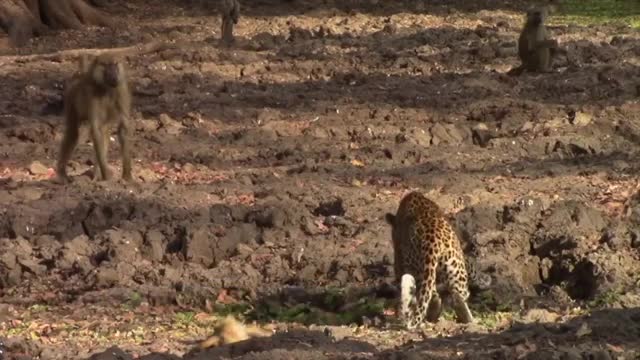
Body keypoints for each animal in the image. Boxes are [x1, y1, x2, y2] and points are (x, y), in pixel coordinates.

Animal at [384, 191, 490, 330]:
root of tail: (432, 241)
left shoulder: (399, 262)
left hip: (420, 270)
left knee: (435, 296)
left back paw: (432, 317)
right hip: (453, 266)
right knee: (457, 295)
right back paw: (466, 319)